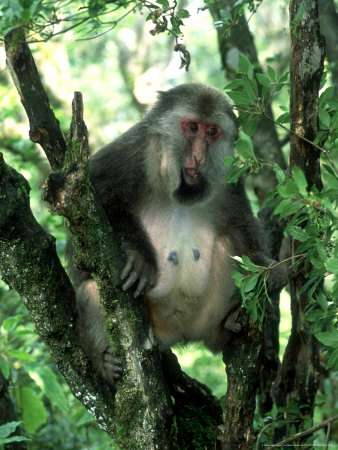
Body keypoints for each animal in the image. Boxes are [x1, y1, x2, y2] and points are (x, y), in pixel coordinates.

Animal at [68, 83, 288, 384]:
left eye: (211, 131)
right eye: (192, 127)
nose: (199, 156)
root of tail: (178, 335)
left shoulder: (228, 178)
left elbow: (239, 223)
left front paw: (267, 268)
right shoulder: (130, 153)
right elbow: (94, 208)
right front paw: (141, 257)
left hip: (204, 319)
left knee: (228, 244)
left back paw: (229, 326)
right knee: (91, 289)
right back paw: (103, 361)